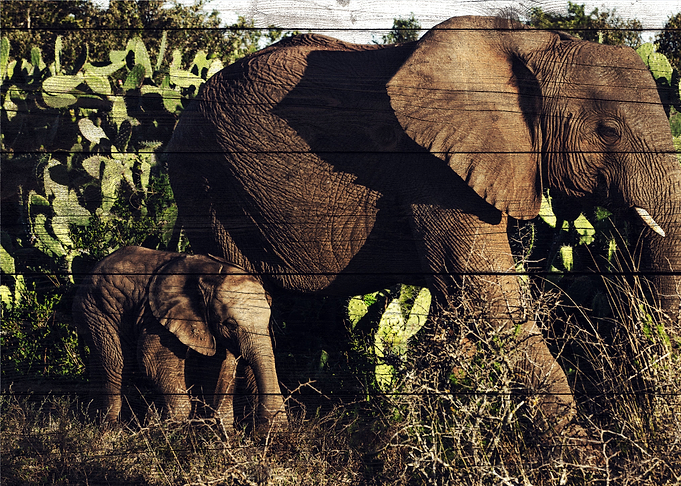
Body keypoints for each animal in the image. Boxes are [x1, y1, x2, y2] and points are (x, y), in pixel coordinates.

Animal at [72, 246, 287, 429]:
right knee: (114, 364)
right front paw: (169, 427)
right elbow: (152, 362)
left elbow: (220, 368)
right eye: (230, 324)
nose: (270, 429)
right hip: (96, 310)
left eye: (268, 321)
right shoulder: (155, 315)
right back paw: (110, 428)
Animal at [165, 16, 681, 432]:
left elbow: (460, 307)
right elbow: (487, 296)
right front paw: (571, 447)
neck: (529, 44)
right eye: (608, 132)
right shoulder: (434, 173)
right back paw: (244, 437)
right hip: (205, 183)